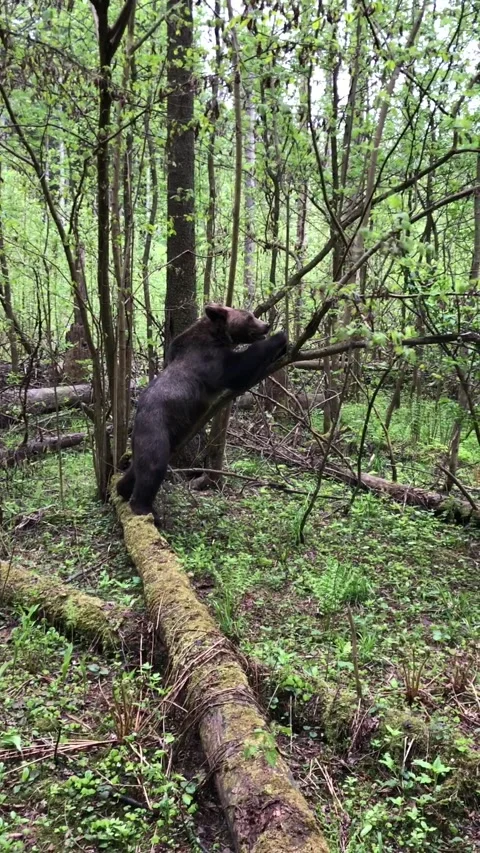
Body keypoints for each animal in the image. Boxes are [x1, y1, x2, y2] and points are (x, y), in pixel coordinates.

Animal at [116, 303, 287, 517]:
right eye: (249, 317)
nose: (266, 325)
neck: (218, 337)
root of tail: (136, 418)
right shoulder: (211, 361)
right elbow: (239, 370)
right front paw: (281, 337)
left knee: (137, 467)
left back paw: (122, 489)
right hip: (156, 429)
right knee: (153, 466)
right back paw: (146, 509)